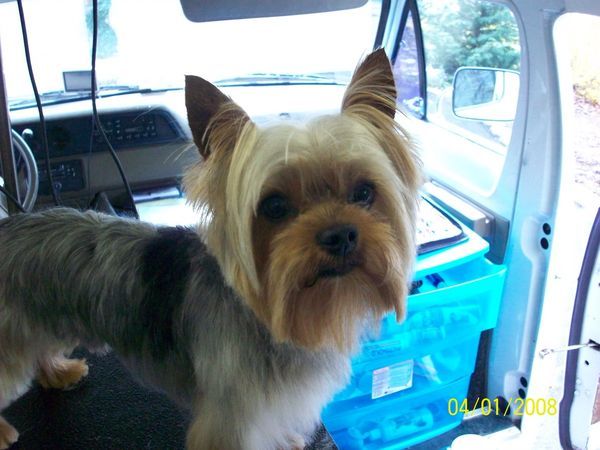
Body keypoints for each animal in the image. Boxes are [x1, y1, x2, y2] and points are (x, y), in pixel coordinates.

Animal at [0, 49, 421, 450]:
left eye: (364, 192)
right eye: (274, 206)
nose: (340, 235)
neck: (270, 316)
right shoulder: (230, 418)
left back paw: (57, 371)